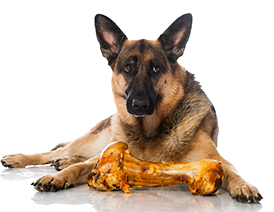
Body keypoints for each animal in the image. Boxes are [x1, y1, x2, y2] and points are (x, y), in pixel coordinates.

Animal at [2, 13, 264, 202]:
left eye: (156, 69)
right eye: (128, 68)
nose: (139, 104)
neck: (149, 132)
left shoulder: (220, 161)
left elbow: (234, 171)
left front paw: (245, 186)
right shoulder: (104, 157)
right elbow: (80, 167)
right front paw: (57, 177)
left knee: (69, 155)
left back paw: (62, 161)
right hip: (91, 140)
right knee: (54, 153)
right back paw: (23, 159)